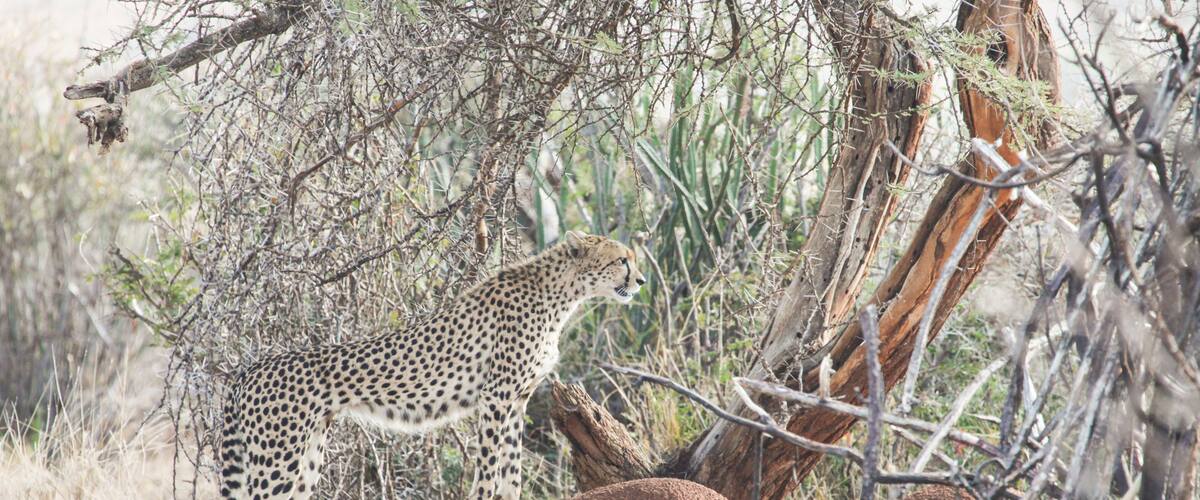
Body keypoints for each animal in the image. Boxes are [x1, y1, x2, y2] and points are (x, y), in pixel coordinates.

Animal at [218, 231, 646, 499]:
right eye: (621, 260)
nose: (641, 280)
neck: (561, 295)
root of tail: (249, 370)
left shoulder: (516, 400)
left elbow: (511, 466)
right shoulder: (497, 397)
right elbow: (489, 467)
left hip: (305, 456)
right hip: (277, 461)